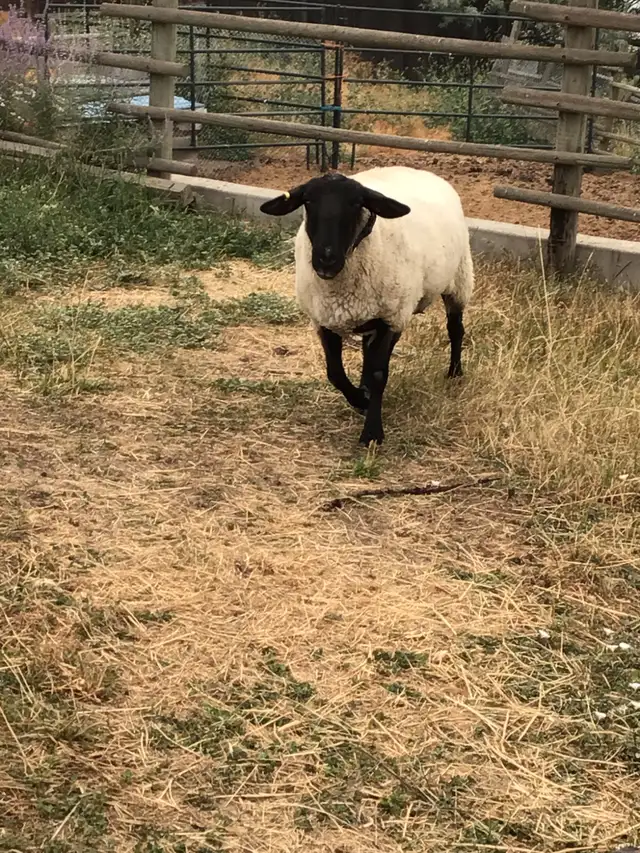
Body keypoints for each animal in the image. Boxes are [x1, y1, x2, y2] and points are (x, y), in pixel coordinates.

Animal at [259, 165, 474, 447]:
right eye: (308, 201)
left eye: (356, 203)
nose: (326, 259)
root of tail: (420, 171)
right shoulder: (324, 320)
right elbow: (335, 373)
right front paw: (361, 399)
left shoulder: (390, 317)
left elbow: (378, 374)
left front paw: (372, 432)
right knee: (368, 352)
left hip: (458, 280)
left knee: (455, 330)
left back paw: (455, 373)